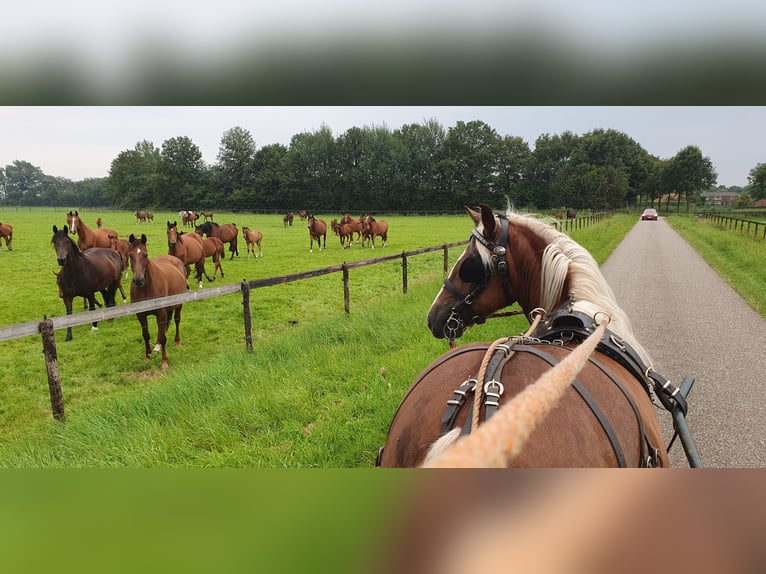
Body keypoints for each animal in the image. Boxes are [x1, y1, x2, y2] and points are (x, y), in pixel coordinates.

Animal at [127, 236, 189, 372]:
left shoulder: (161, 313)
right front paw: (147, 357)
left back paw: (177, 341)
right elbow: (146, 335)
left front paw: (164, 362)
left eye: (145, 255)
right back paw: (157, 346)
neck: (146, 289)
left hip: (178, 305)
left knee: (176, 320)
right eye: (130, 256)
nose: (138, 280)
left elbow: (164, 337)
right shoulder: (141, 315)